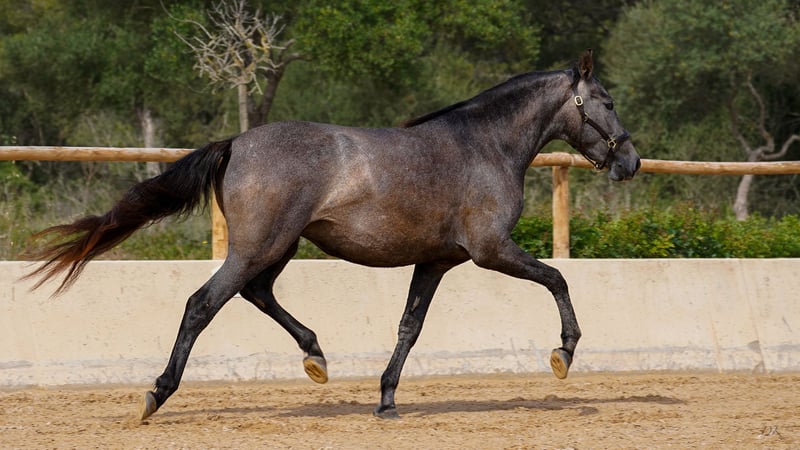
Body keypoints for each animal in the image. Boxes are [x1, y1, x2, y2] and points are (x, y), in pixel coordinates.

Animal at [24, 50, 640, 420]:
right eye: (607, 102)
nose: (630, 162)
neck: (484, 146)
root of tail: (236, 144)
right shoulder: (491, 251)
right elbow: (557, 279)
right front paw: (563, 353)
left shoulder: (436, 261)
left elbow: (410, 327)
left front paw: (386, 400)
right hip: (260, 246)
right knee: (204, 303)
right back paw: (156, 394)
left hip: (279, 247)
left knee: (256, 294)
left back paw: (316, 357)